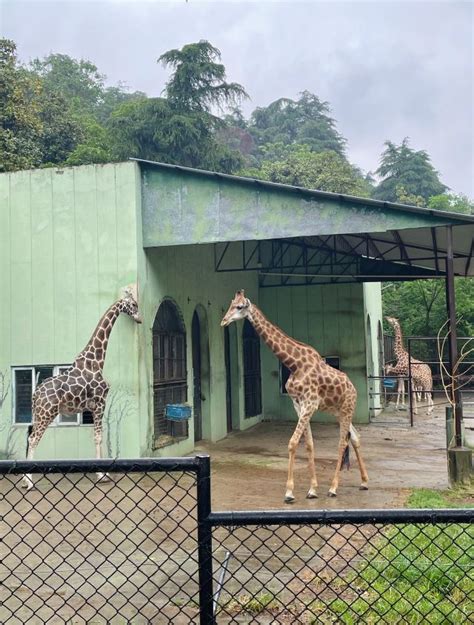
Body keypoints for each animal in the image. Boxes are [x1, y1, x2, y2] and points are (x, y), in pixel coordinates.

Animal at [22, 290, 141, 490]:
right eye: (133, 304)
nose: (140, 319)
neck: (96, 361)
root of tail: (35, 394)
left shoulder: (93, 407)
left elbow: (97, 436)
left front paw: (102, 473)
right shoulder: (100, 403)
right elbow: (98, 437)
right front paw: (102, 475)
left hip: (38, 414)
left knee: (30, 436)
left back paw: (24, 479)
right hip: (47, 413)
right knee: (33, 439)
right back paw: (30, 482)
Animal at [220, 288, 368, 502]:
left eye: (239, 307)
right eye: (231, 304)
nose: (223, 321)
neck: (294, 364)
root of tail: (353, 388)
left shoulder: (310, 404)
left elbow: (292, 443)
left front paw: (289, 492)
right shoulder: (298, 405)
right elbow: (309, 444)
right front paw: (312, 489)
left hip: (348, 407)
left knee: (342, 442)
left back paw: (333, 488)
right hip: (338, 411)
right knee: (355, 437)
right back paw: (364, 482)